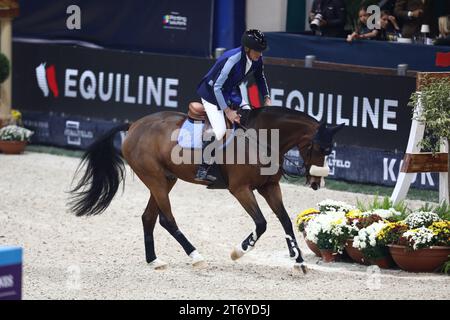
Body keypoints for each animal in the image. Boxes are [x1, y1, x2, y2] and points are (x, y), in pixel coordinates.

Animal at [70, 105, 342, 272]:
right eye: (319, 148)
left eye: (330, 151)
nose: (317, 183)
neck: (261, 138)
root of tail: (135, 125)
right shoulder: (240, 189)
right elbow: (261, 223)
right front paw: (238, 252)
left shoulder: (269, 187)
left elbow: (284, 221)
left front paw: (299, 262)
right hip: (155, 179)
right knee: (167, 220)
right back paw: (196, 256)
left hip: (165, 180)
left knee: (149, 217)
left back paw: (155, 261)